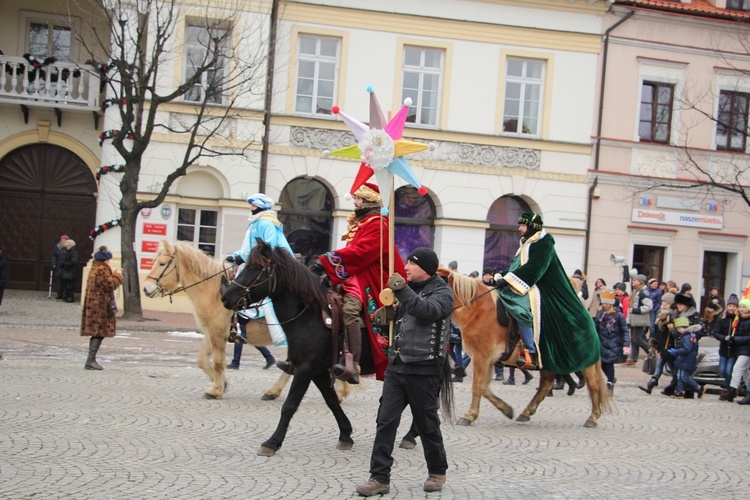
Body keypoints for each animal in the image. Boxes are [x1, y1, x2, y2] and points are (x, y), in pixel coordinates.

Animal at [141, 240, 294, 400]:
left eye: (162, 263)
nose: (146, 288)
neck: (213, 293)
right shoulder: (211, 333)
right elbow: (201, 359)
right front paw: (221, 384)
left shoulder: (217, 334)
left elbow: (218, 362)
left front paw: (215, 390)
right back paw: (273, 391)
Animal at [220, 239, 356, 458]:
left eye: (254, 267)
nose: (226, 298)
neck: (309, 316)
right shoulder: (317, 370)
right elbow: (331, 400)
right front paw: (345, 434)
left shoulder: (305, 369)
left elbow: (290, 405)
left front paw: (272, 442)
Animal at [440, 268, 612, 428]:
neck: (476, 311)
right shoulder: (488, 359)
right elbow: (484, 387)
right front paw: (507, 409)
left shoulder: (481, 357)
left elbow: (477, 386)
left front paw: (469, 416)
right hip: (549, 362)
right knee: (546, 384)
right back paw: (526, 412)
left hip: (585, 360)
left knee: (594, 383)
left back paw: (593, 417)